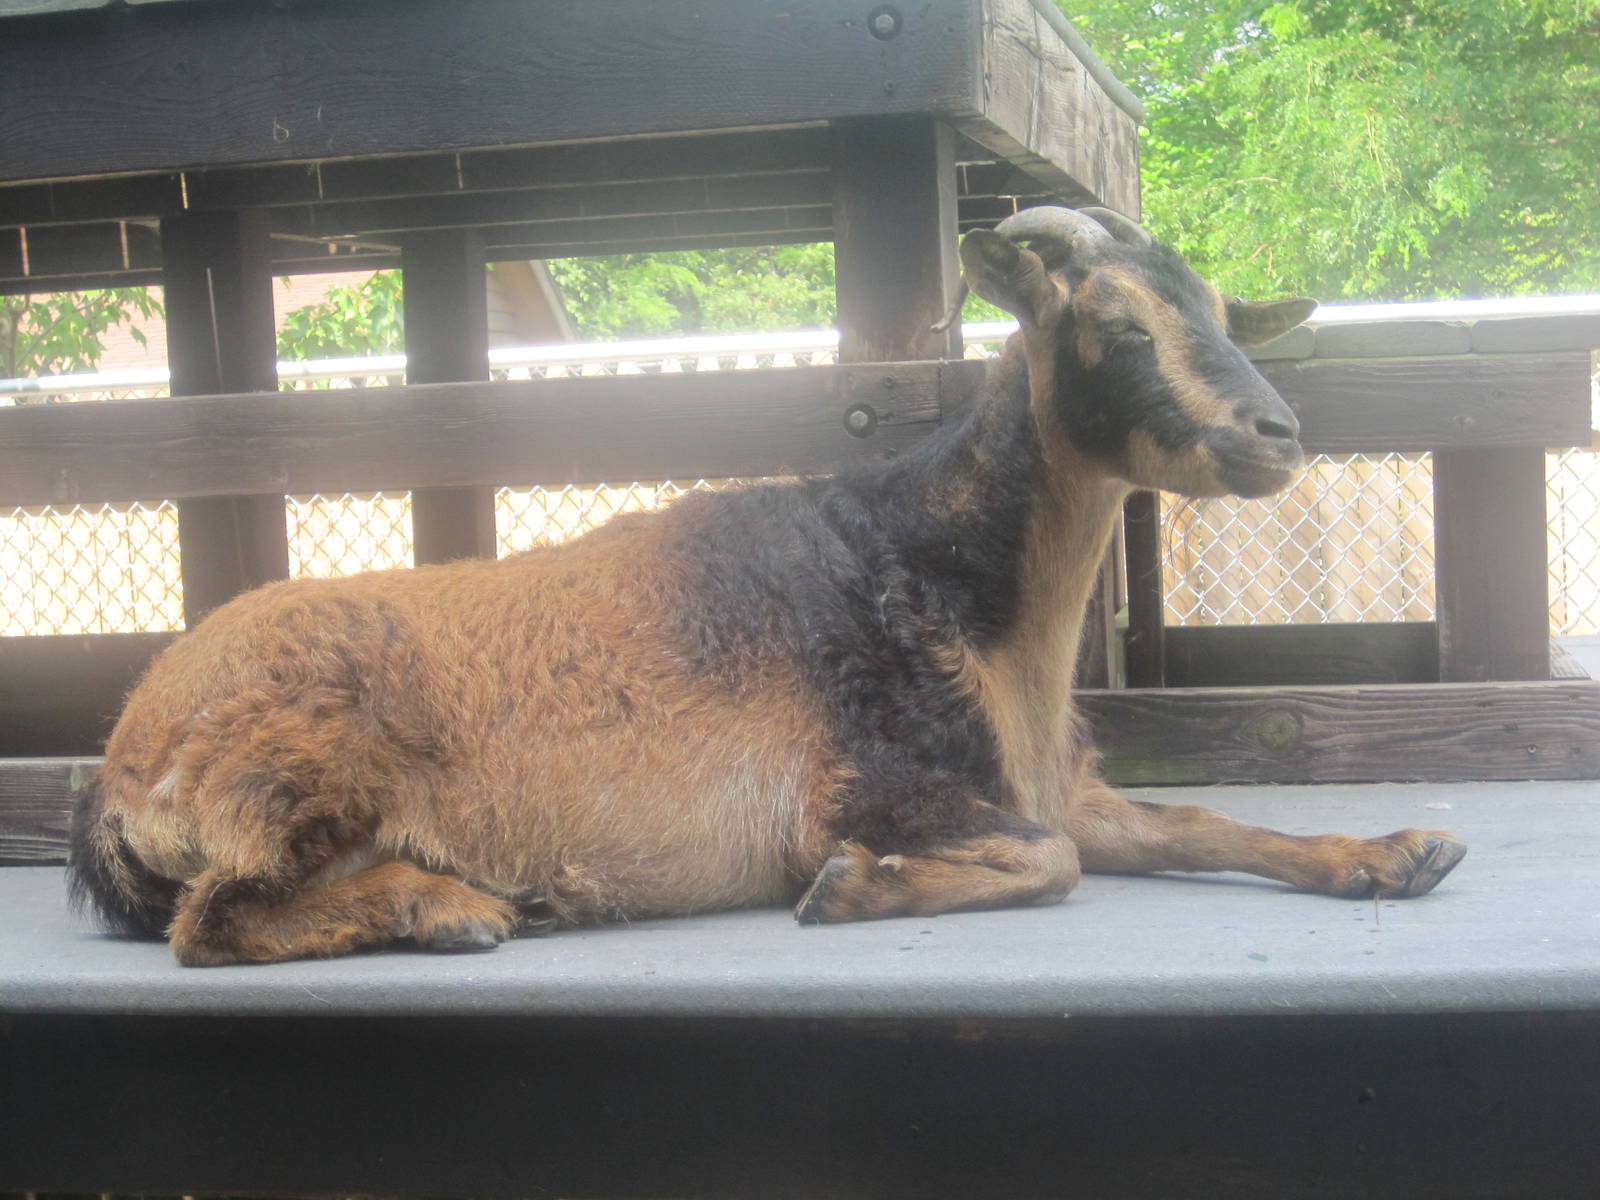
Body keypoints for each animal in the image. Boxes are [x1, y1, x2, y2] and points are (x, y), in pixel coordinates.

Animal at [68, 206, 1466, 966]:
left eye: (1221, 312)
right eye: (1114, 325)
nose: (1276, 435)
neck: (939, 583)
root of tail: (127, 763)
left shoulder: (1053, 782)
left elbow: (1200, 826)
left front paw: (1398, 852)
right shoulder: (863, 787)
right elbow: (1051, 860)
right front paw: (851, 889)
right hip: (305, 775)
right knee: (214, 919)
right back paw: (451, 906)